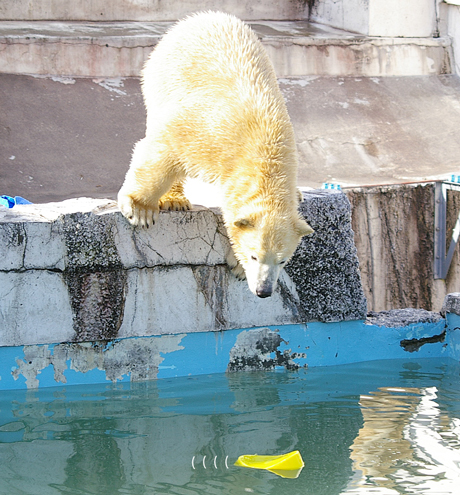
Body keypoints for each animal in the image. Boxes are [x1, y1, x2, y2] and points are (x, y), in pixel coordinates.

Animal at [117, 10, 314, 298]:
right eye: (254, 255)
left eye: (283, 260)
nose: (263, 290)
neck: (265, 148)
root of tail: (200, 16)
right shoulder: (208, 135)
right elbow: (165, 147)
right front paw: (139, 209)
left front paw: (237, 266)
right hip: (162, 77)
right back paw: (175, 200)